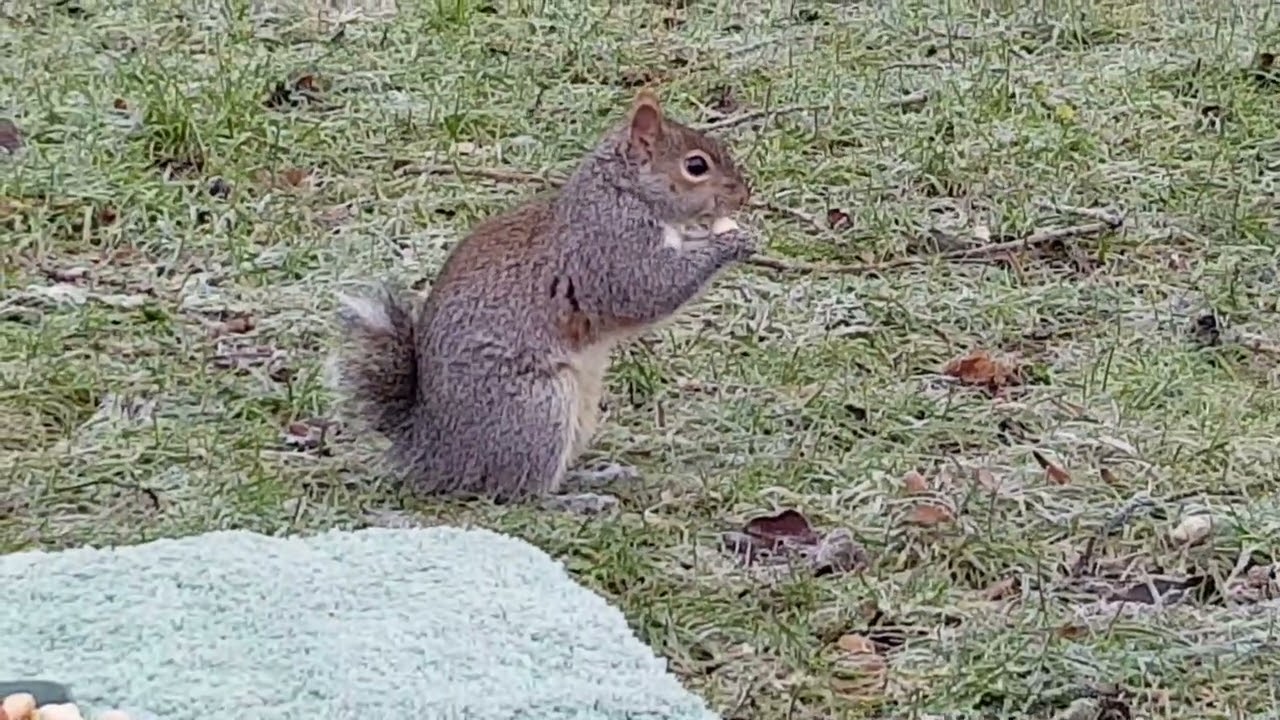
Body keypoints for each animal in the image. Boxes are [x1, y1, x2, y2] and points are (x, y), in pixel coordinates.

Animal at [331, 89, 755, 506]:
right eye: (696, 166)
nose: (743, 196)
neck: (624, 192)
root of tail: (438, 452)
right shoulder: (612, 248)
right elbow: (651, 287)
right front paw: (730, 242)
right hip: (537, 409)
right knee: (520, 490)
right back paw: (578, 500)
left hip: (579, 409)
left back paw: (601, 476)